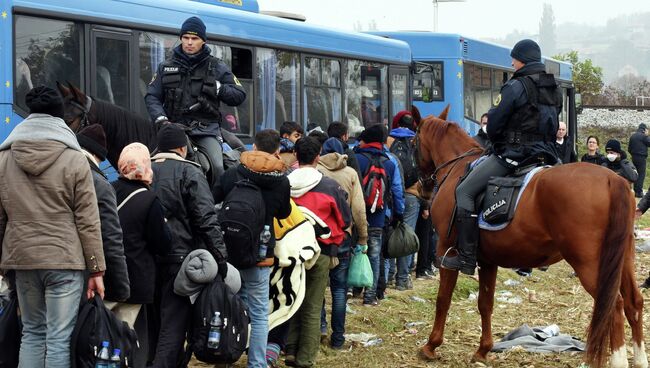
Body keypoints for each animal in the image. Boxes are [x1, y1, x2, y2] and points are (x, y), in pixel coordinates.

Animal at [416, 109, 644, 368]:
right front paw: (483, 350)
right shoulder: (487, 260)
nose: (422, 189)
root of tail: (612, 179)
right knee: (633, 302)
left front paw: (431, 345)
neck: (458, 167)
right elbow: (485, 303)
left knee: (613, 306)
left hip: (589, 263)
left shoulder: (446, 250)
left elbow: (443, 299)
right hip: (621, 260)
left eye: (413, 142)